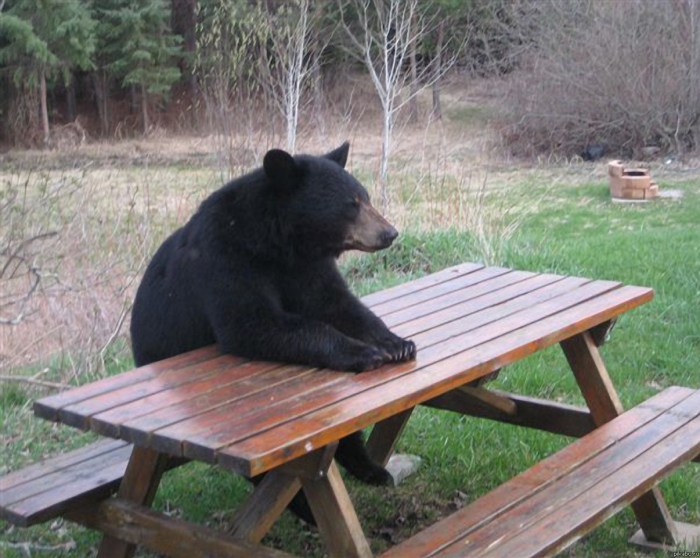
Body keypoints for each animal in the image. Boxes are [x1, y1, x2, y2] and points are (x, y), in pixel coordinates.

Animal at [130, 141, 416, 522]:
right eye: (351, 204)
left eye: (365, 197)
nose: (390, 233)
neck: (279, 242)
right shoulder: (225, 258)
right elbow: (253, 322)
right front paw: (364, 352)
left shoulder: (306, 266)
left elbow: (338, 304)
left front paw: (396, 343)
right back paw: (305, 507)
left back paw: (370, 469)